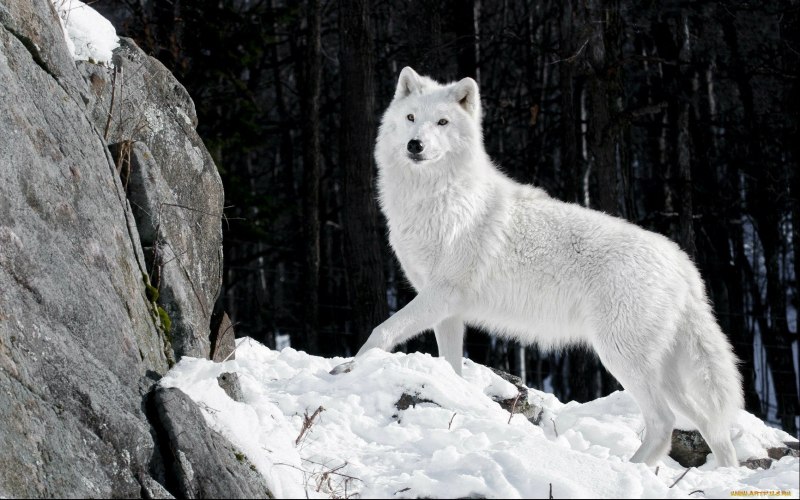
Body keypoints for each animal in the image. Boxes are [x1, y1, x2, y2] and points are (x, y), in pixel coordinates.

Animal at [333, 67, 744, 468]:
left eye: (442, 122)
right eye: (411, 118)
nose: (415, 145)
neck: (436, 199)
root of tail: (682, 263)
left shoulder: (441, 295)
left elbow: (381, 331)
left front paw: (346, 369)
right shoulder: (447, 310)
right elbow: (450, 365)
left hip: (621, 357)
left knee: (664, 422)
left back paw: (628, 469)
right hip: (664, 374)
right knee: (711, 426)